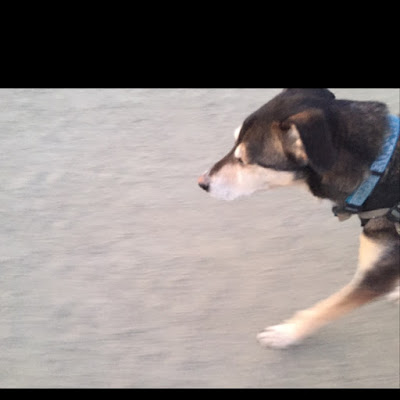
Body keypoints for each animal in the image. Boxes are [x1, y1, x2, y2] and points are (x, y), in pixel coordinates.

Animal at [198, 89, 400, 348]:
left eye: (243, 160)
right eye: (234, 144)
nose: (202, 182)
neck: (378, 171)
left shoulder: (378, 274)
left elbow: (324, 308)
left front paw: (287, 332)